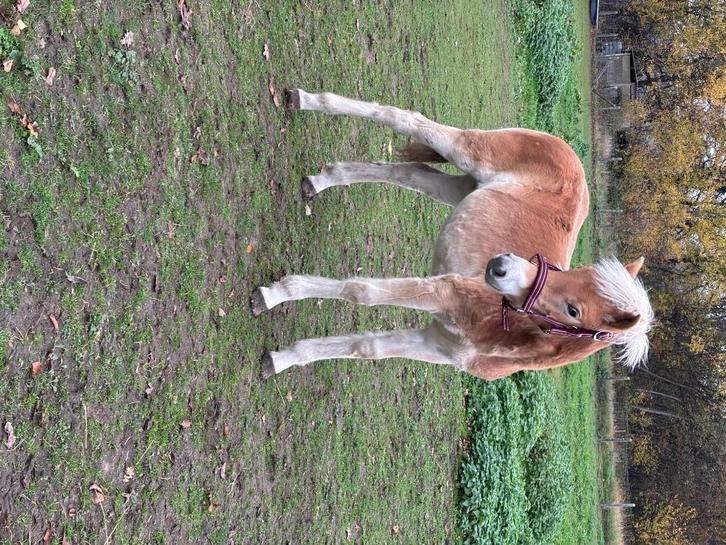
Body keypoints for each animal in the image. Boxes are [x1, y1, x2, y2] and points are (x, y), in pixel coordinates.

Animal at [252, 89, 654, 381]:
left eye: (574, 309)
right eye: (574, 272)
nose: (501, 265)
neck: (503, 334)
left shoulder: (435, 345)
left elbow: (366, 348)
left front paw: (283, 358)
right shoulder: (444, 292)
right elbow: (362, 292)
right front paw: (274, 294)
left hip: (461, 187)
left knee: (407, 173)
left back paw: (320, 180)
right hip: (468, 152)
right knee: (406, 119)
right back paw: (304, 100)